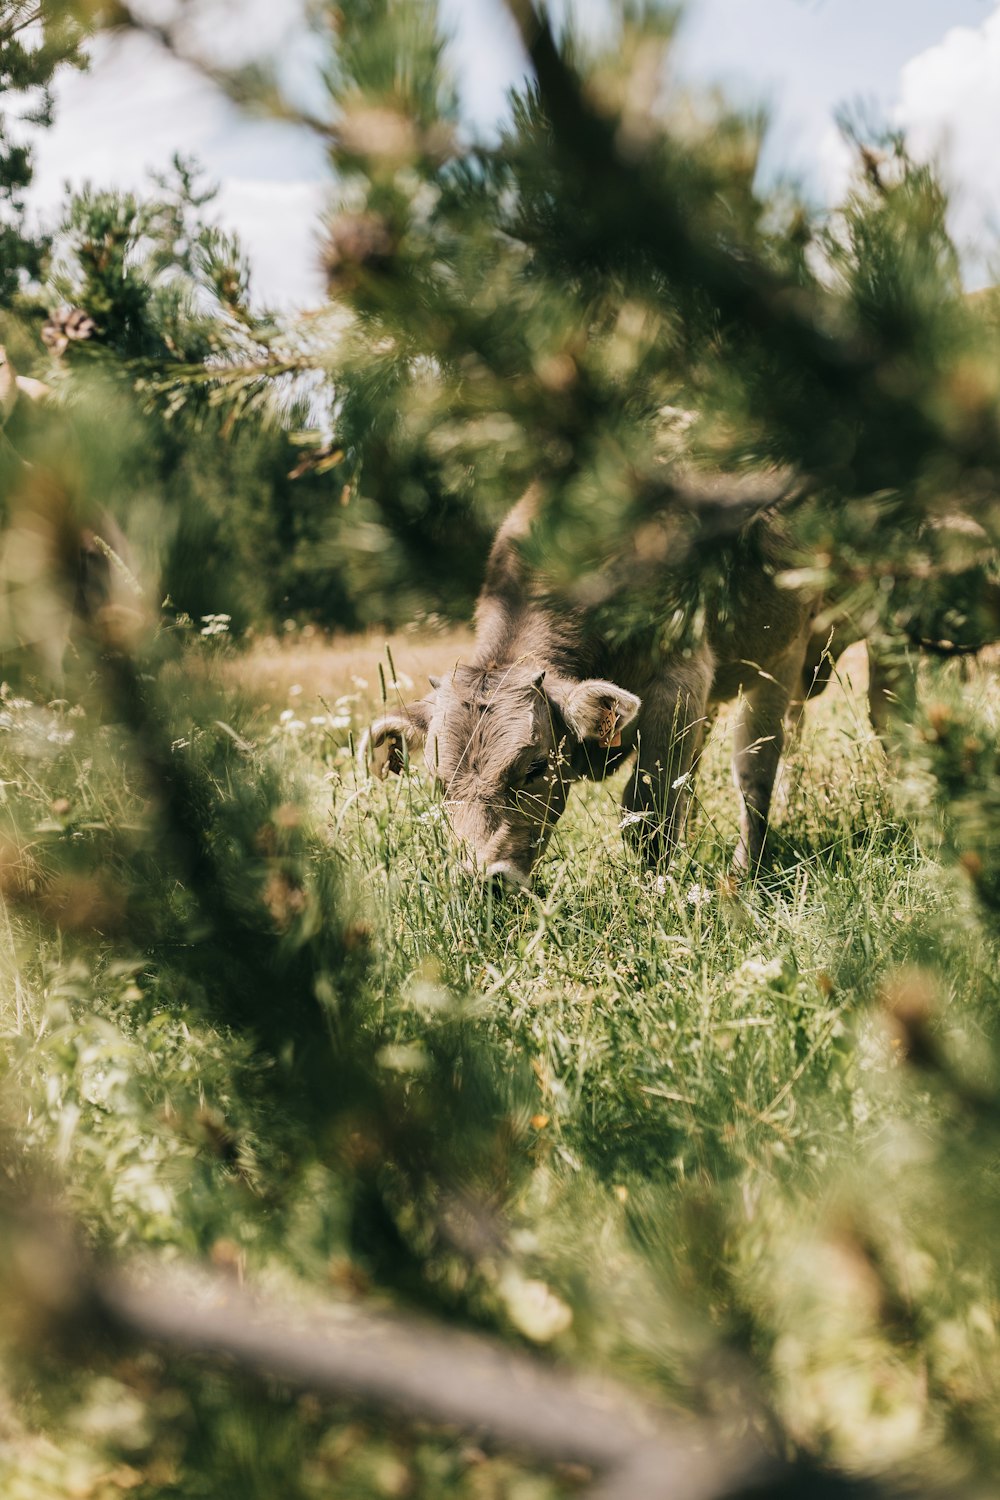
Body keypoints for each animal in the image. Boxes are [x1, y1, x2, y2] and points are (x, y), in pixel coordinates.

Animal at [364, 486, 815, 888]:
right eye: (439, 782)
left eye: (535, 768)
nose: (482, 880)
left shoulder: (680, 678)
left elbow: (647, 813)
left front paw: (654, 895)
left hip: (786, 657)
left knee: (756, 772)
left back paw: (745, 873)